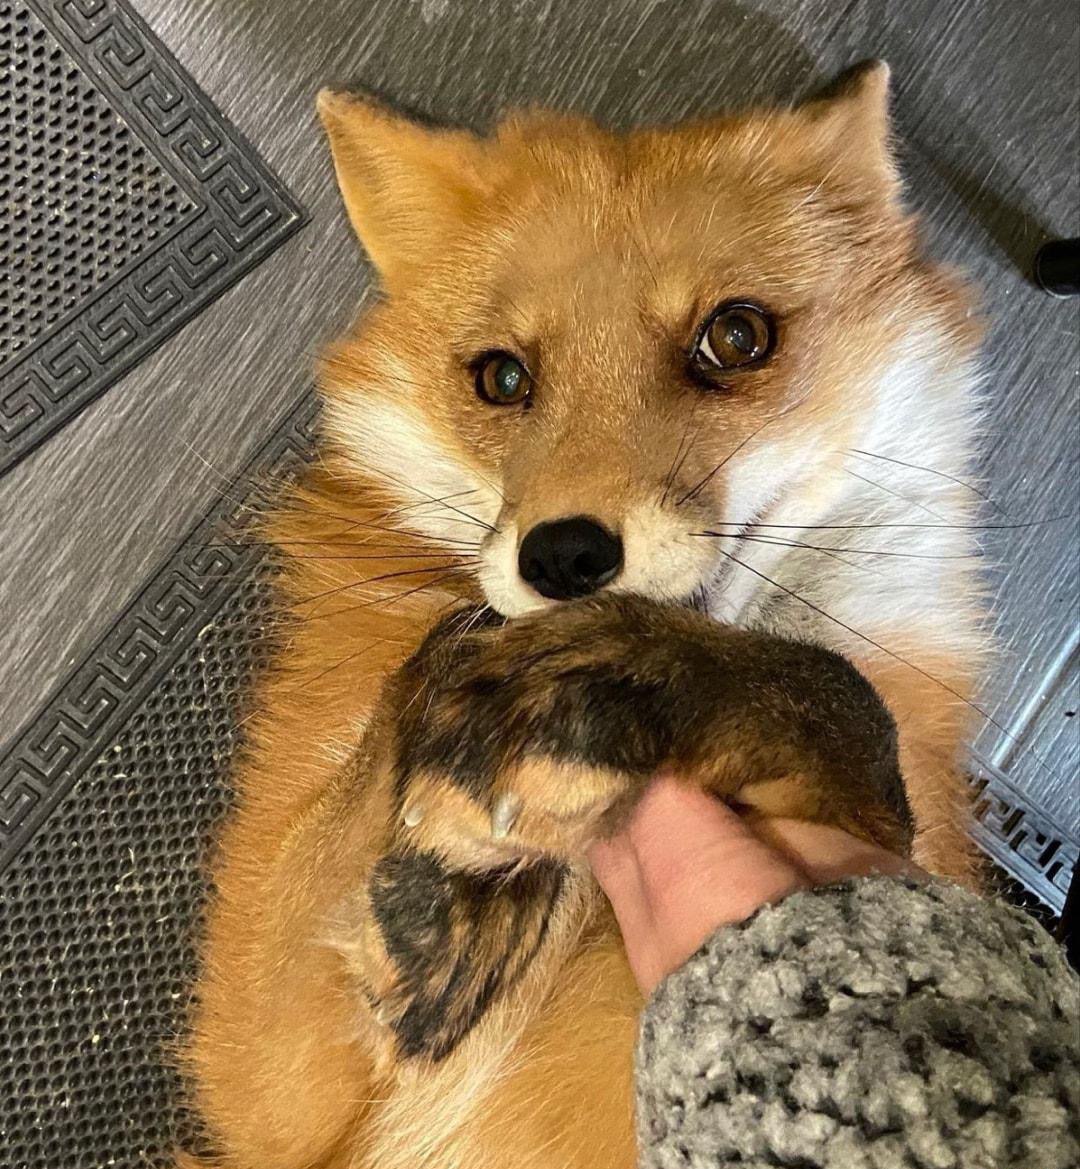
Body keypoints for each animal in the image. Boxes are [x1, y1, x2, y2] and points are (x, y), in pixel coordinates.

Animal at [178, 61, 986, 1169]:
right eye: (502, 377)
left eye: (735, 337)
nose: (562, 555)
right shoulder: (269, 1097)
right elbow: (411, 698)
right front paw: (447, 895)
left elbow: (841, 692)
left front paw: (617, 683)